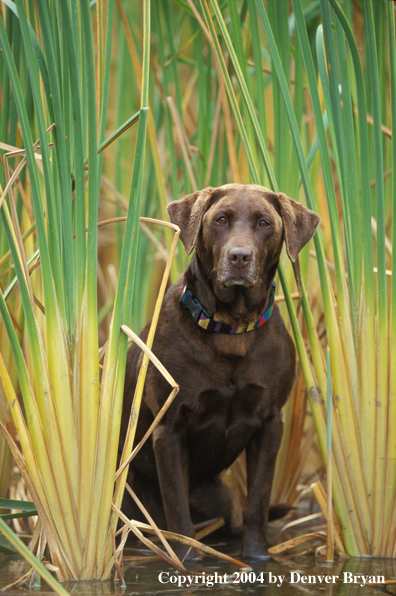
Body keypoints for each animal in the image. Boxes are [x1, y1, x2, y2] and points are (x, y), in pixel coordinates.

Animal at [120, 183, 318, 560]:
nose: (239, 256)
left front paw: (256, 558)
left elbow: (258, 501)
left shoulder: (271, 423)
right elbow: (177, 508)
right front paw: (187, 560)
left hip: (222, 500)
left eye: (264, 222)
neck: (231, 329)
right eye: (221, 220)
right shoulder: (168, 429)